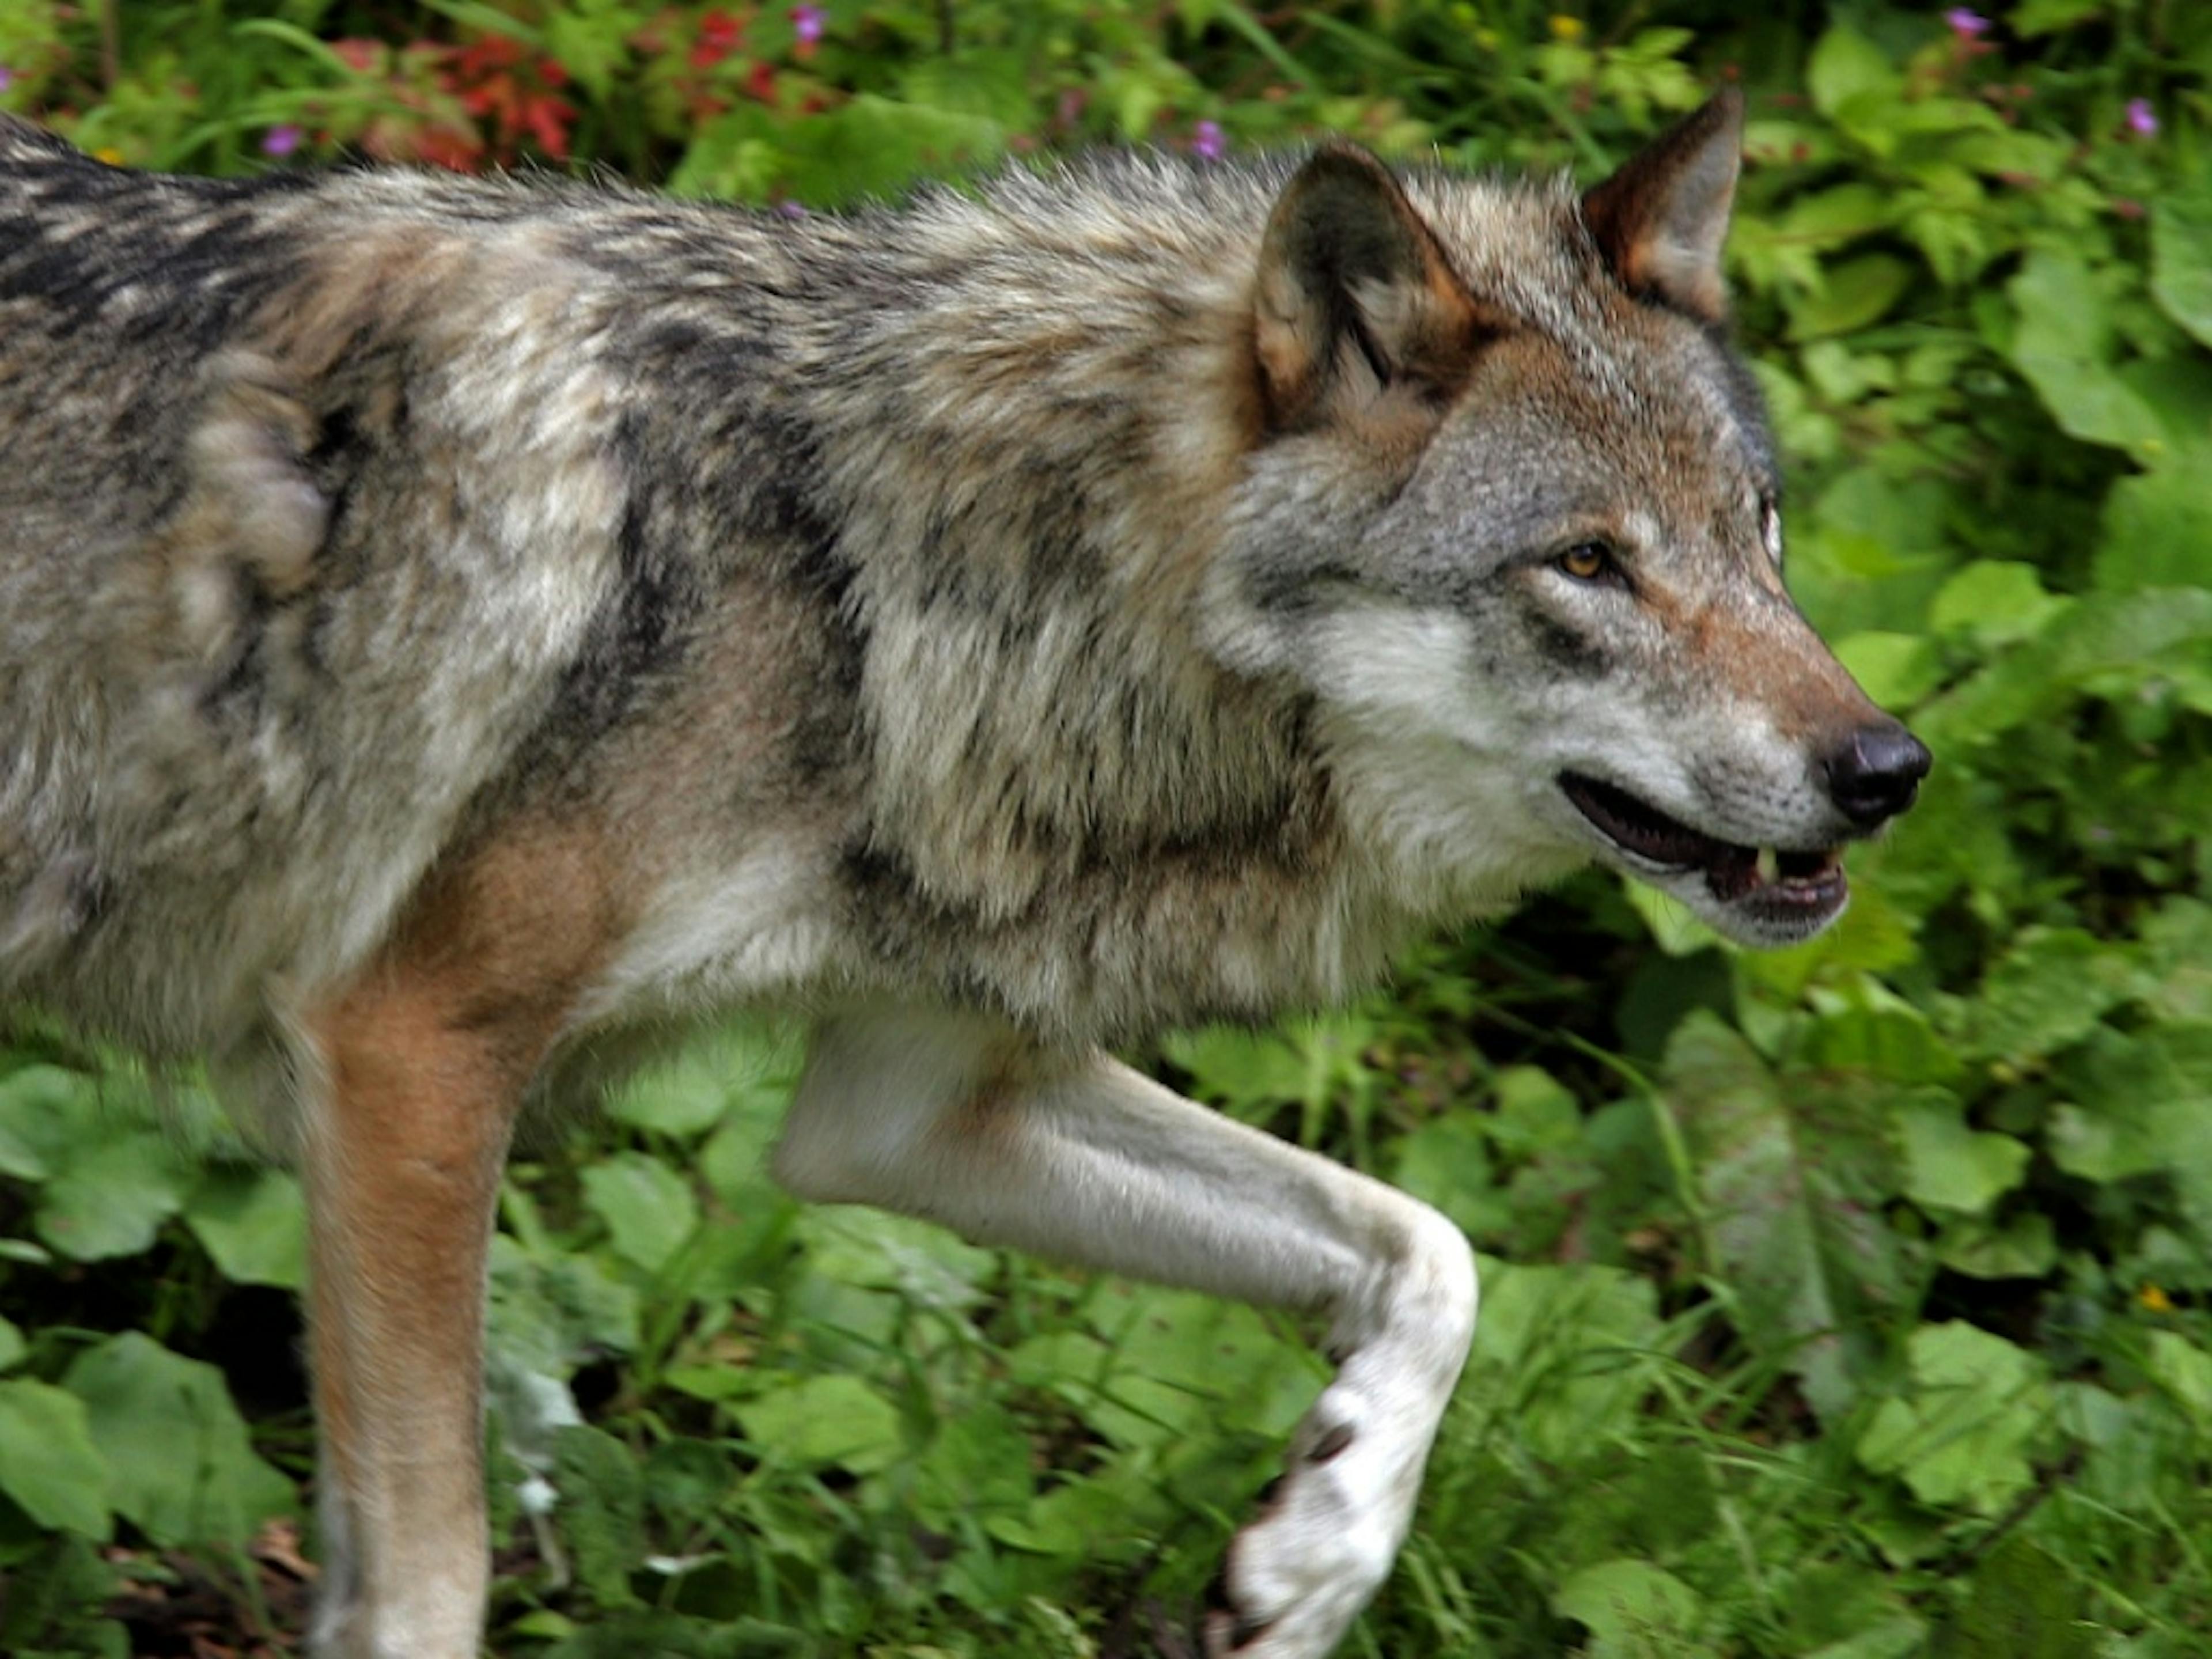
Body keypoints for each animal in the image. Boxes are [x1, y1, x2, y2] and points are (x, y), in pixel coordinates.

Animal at [0, 90, 1920, 1659]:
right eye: (1586, 565)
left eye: (1755, 531)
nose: (1886, 771)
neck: (874, 574)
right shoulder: (406, 1058)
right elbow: (427, 1583)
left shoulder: (905, 1113)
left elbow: (1428, 1251)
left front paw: (1314, 1557)